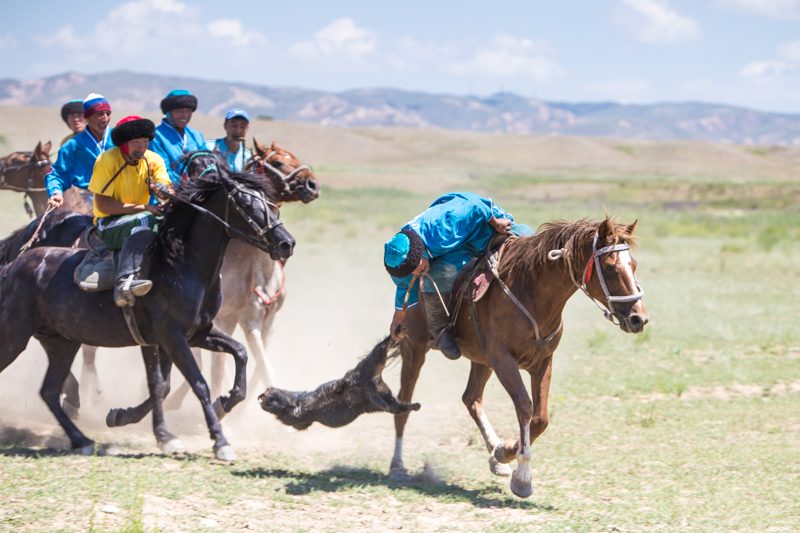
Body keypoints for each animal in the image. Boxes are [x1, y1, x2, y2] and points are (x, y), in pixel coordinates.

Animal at [0, 153, 296, 458]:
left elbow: (233, 356)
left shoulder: (195, 334)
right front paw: (218, 441)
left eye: (269, 202)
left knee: (49, 390)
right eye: (245, 203)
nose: (286, 243)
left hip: (61, 343)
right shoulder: (172, 337)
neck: (181, 264)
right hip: (14, 336)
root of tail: (13, 265)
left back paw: (81, 438)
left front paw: (215, 406)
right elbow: (195, 383)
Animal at [390, 214, 648, 496]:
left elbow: (540, 418)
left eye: (634, 264)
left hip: (481, 360)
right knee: (403, 405)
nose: (639, 318)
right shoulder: (503, 360)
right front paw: (522, 477)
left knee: (471, 398)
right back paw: (397, 465)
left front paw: (503, 453)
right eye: (610, 268)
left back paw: (496, 456)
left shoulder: (542, 361)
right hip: (415, 349)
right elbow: (525, 406)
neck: (531, 291)